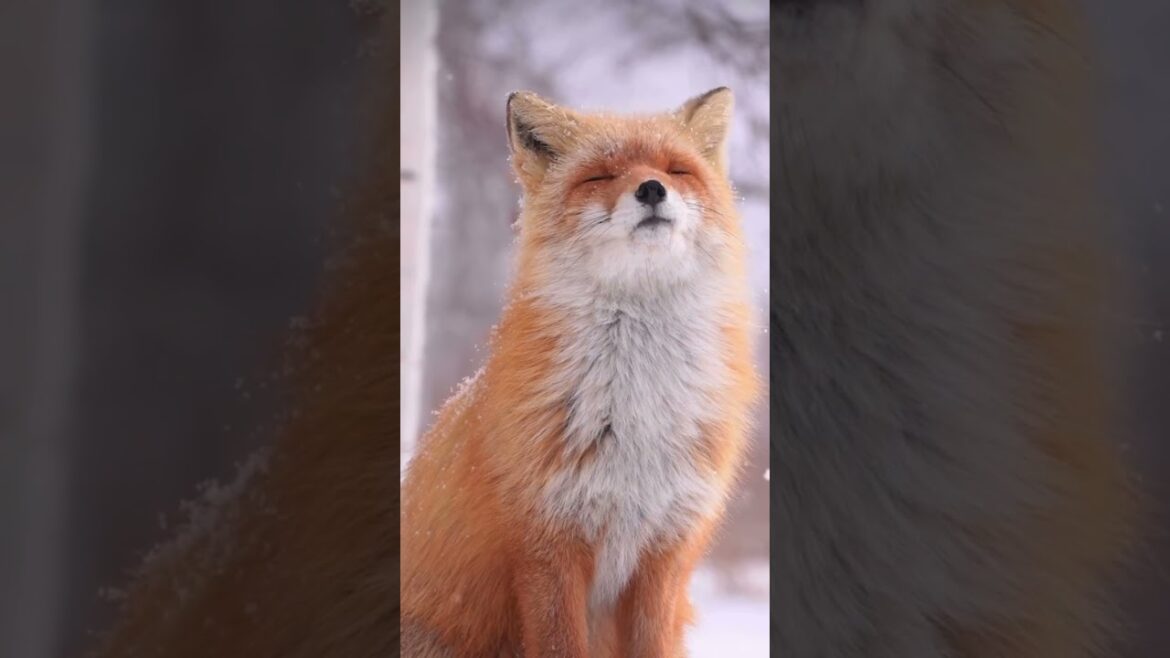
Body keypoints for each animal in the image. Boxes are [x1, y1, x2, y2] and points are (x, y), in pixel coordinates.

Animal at [400, 88, 759, 657]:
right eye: (601, 175)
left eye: (677, 169)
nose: (652, 188)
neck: (636, 410)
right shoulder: (547, 545)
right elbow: (558, 642)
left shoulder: (665, 552)